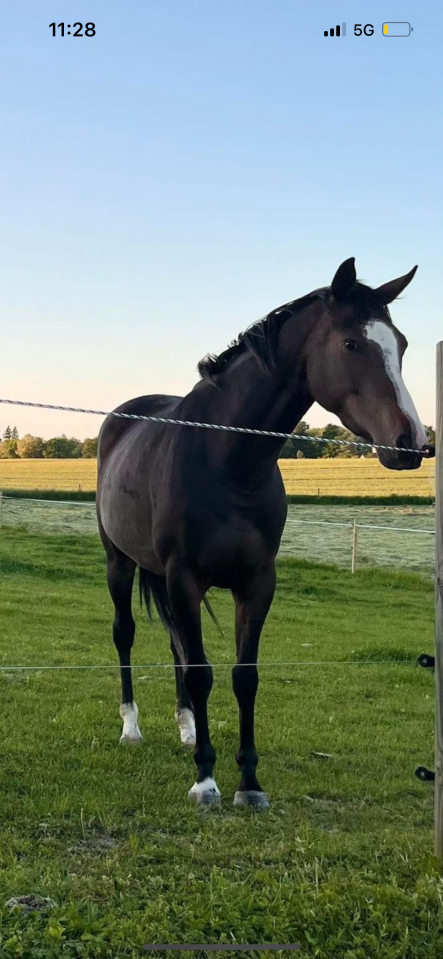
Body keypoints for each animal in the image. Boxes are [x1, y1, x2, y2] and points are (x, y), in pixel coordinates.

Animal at [96, 257, 428, 808]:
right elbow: (203, 673)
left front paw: (249, 783)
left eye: (399, 344)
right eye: (351, 344)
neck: (228, 460)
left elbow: (242, 677)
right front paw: (205, 780)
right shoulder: (185, 579)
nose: (411, 443)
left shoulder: (257, 583)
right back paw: (132, 729)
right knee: (127, 635)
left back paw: (187, 728)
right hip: (119, 564)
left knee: (176, 645)